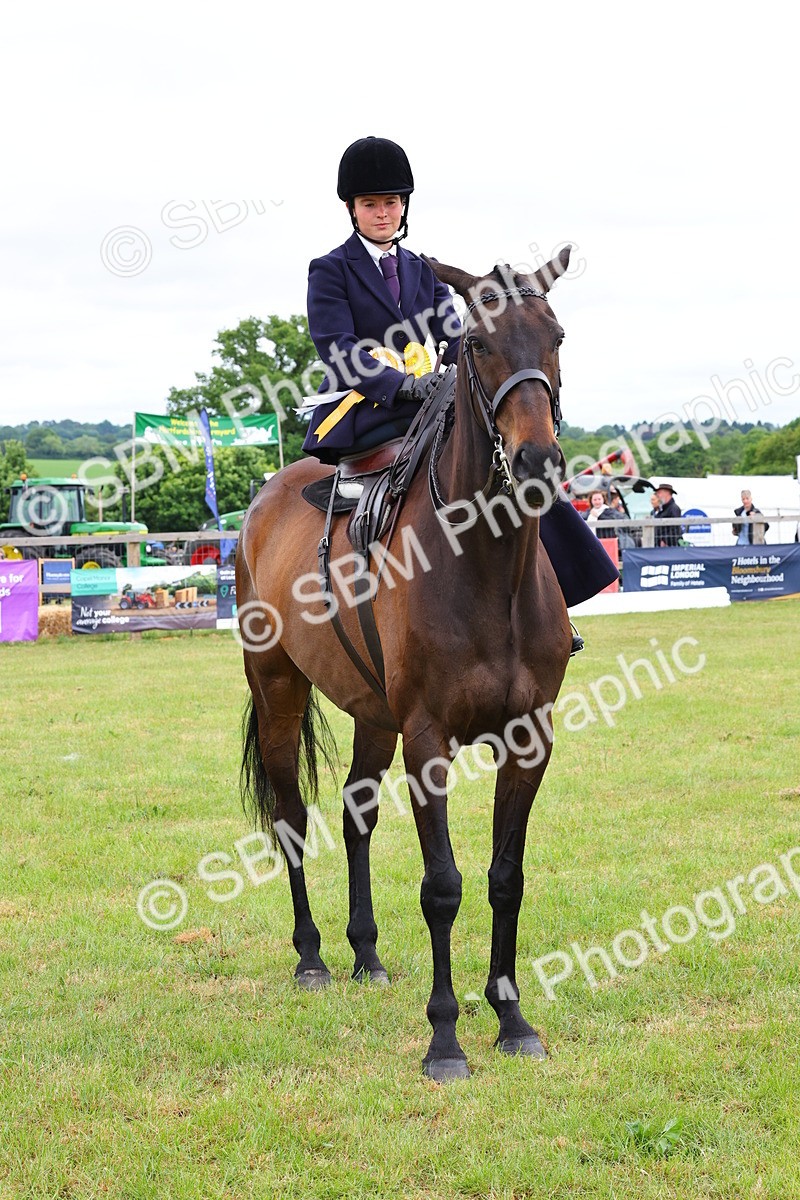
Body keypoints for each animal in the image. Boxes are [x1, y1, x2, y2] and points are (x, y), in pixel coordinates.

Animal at [235, 248, 574, 1081]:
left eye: (555, 336)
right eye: (476, 344)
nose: (537, 460)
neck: (485, 566)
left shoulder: (530, 738)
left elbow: (505, 879)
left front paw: (512, 1020)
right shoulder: (427, 742)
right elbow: (442, 886)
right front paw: (446, 1039)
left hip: (371, 713)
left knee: (355, 814)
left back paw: (366, 955)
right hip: (280, 686)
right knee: (292, 816)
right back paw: (313, 958)